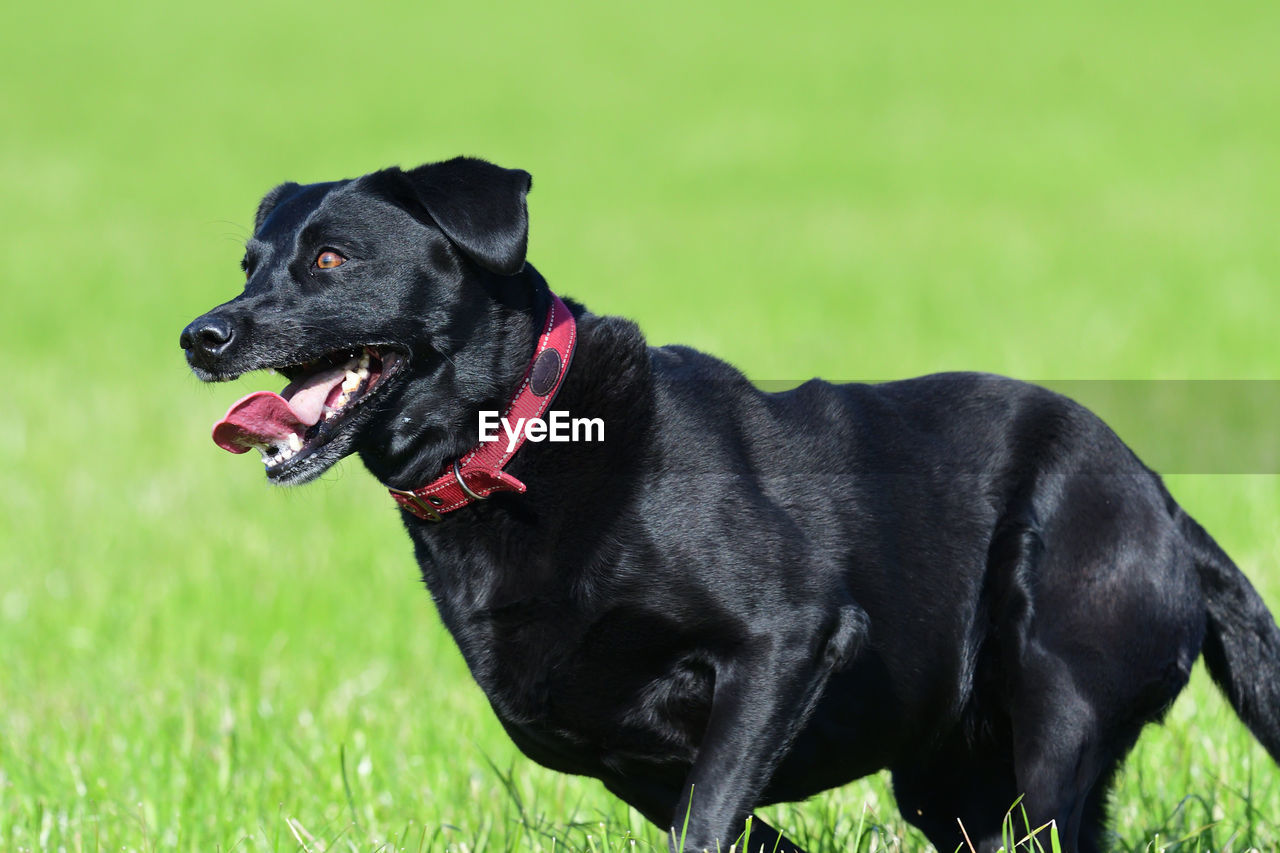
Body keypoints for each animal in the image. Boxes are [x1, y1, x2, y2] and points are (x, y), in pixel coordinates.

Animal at [180, 156, 1280, 845]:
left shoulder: (785, 639)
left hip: (1057, 711)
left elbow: (713, 819)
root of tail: (1165, 502)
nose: (200, 336)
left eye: (331, 259)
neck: (526, 441)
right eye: (248, 263)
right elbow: (726, 826)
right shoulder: (623, 757)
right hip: (950, 777)